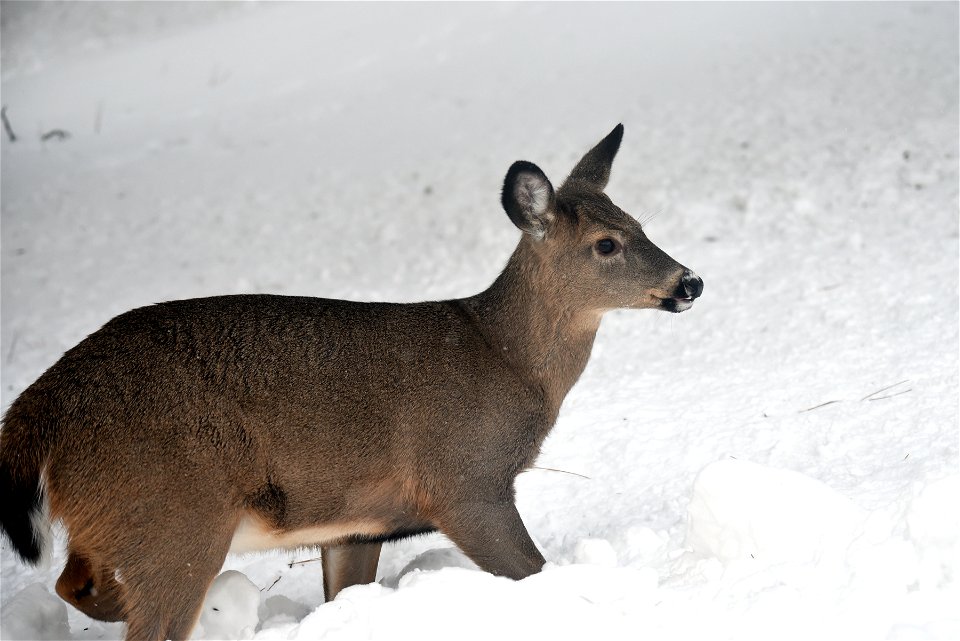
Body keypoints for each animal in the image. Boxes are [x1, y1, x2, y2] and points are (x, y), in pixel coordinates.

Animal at [3, 124, 700, 636]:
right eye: (606, 244)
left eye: (641, 225)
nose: (689, 281)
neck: (506, 360)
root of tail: (41, 402)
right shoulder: (465, 480)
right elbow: (534, 572)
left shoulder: (357, 524)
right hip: (173, 515)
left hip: (116, 516)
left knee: (71, 580)